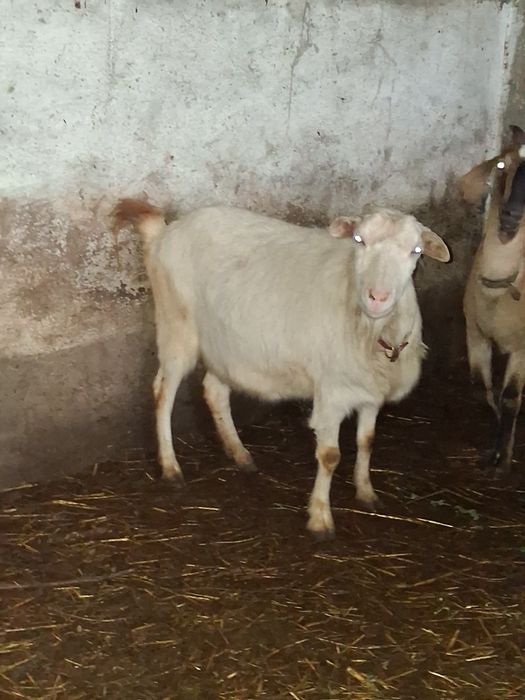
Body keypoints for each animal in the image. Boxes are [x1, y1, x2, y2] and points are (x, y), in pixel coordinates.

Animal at [113, 200, 450, 538]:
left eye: (416, 250)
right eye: (359, 240)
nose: (377, 298)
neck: (373, 330)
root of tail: (165, 232)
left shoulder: (370, 392)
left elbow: (367, 442)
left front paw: (366, 492)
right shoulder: (332, 392)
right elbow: (330, 456)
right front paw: (320, 518)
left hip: (224, 344)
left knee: (214, 392)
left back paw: (240, 454)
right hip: (176, 327)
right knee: (162, 393)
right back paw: (171, 467)